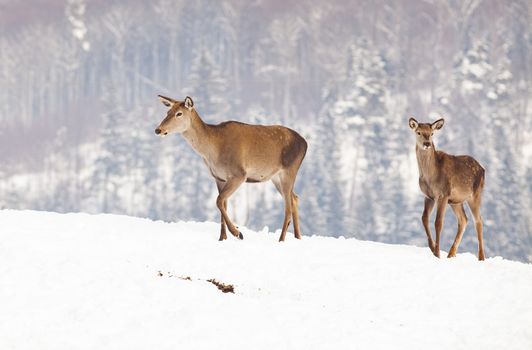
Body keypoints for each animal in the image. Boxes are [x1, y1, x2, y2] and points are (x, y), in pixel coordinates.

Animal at [154, 95, 308, 243]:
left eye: (179, 113)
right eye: (168, 112)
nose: (158, 130)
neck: (212, 151)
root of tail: (305, 143)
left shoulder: (239, 174)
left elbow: (218, 200)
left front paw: (237, 232)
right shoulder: (219, 177)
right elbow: (223, 203)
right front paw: (223, 238)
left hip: (289, 169)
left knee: (288, 206)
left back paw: (281, 240)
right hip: (276, 177)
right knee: (295, 198)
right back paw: (298, 237)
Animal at [408, 117, 486, 260]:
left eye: (432, 133)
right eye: (419, 132)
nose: (427, 143)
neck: (430, 176)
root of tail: (483, 169)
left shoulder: (443, 194)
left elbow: (438, 222)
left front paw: (437, 253)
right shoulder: (428, 196)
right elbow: (424, 218)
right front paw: (432, 247)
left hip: (475, 194)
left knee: (478, 221)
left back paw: (481, 257)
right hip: (456, 201)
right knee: (464, 220)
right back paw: (451, 254)